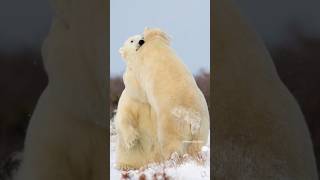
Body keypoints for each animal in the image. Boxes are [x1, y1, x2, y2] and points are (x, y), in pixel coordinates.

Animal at [115, 27, 210, 169]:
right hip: (203, 125)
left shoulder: (140, 67)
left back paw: (171, 161)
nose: (140, 42)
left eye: (140, 37)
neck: (157, 44)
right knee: (196, 146)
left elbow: (136, 86)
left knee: (171, 144)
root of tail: (192, 118)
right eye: (132, 40)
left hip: (171, 123)